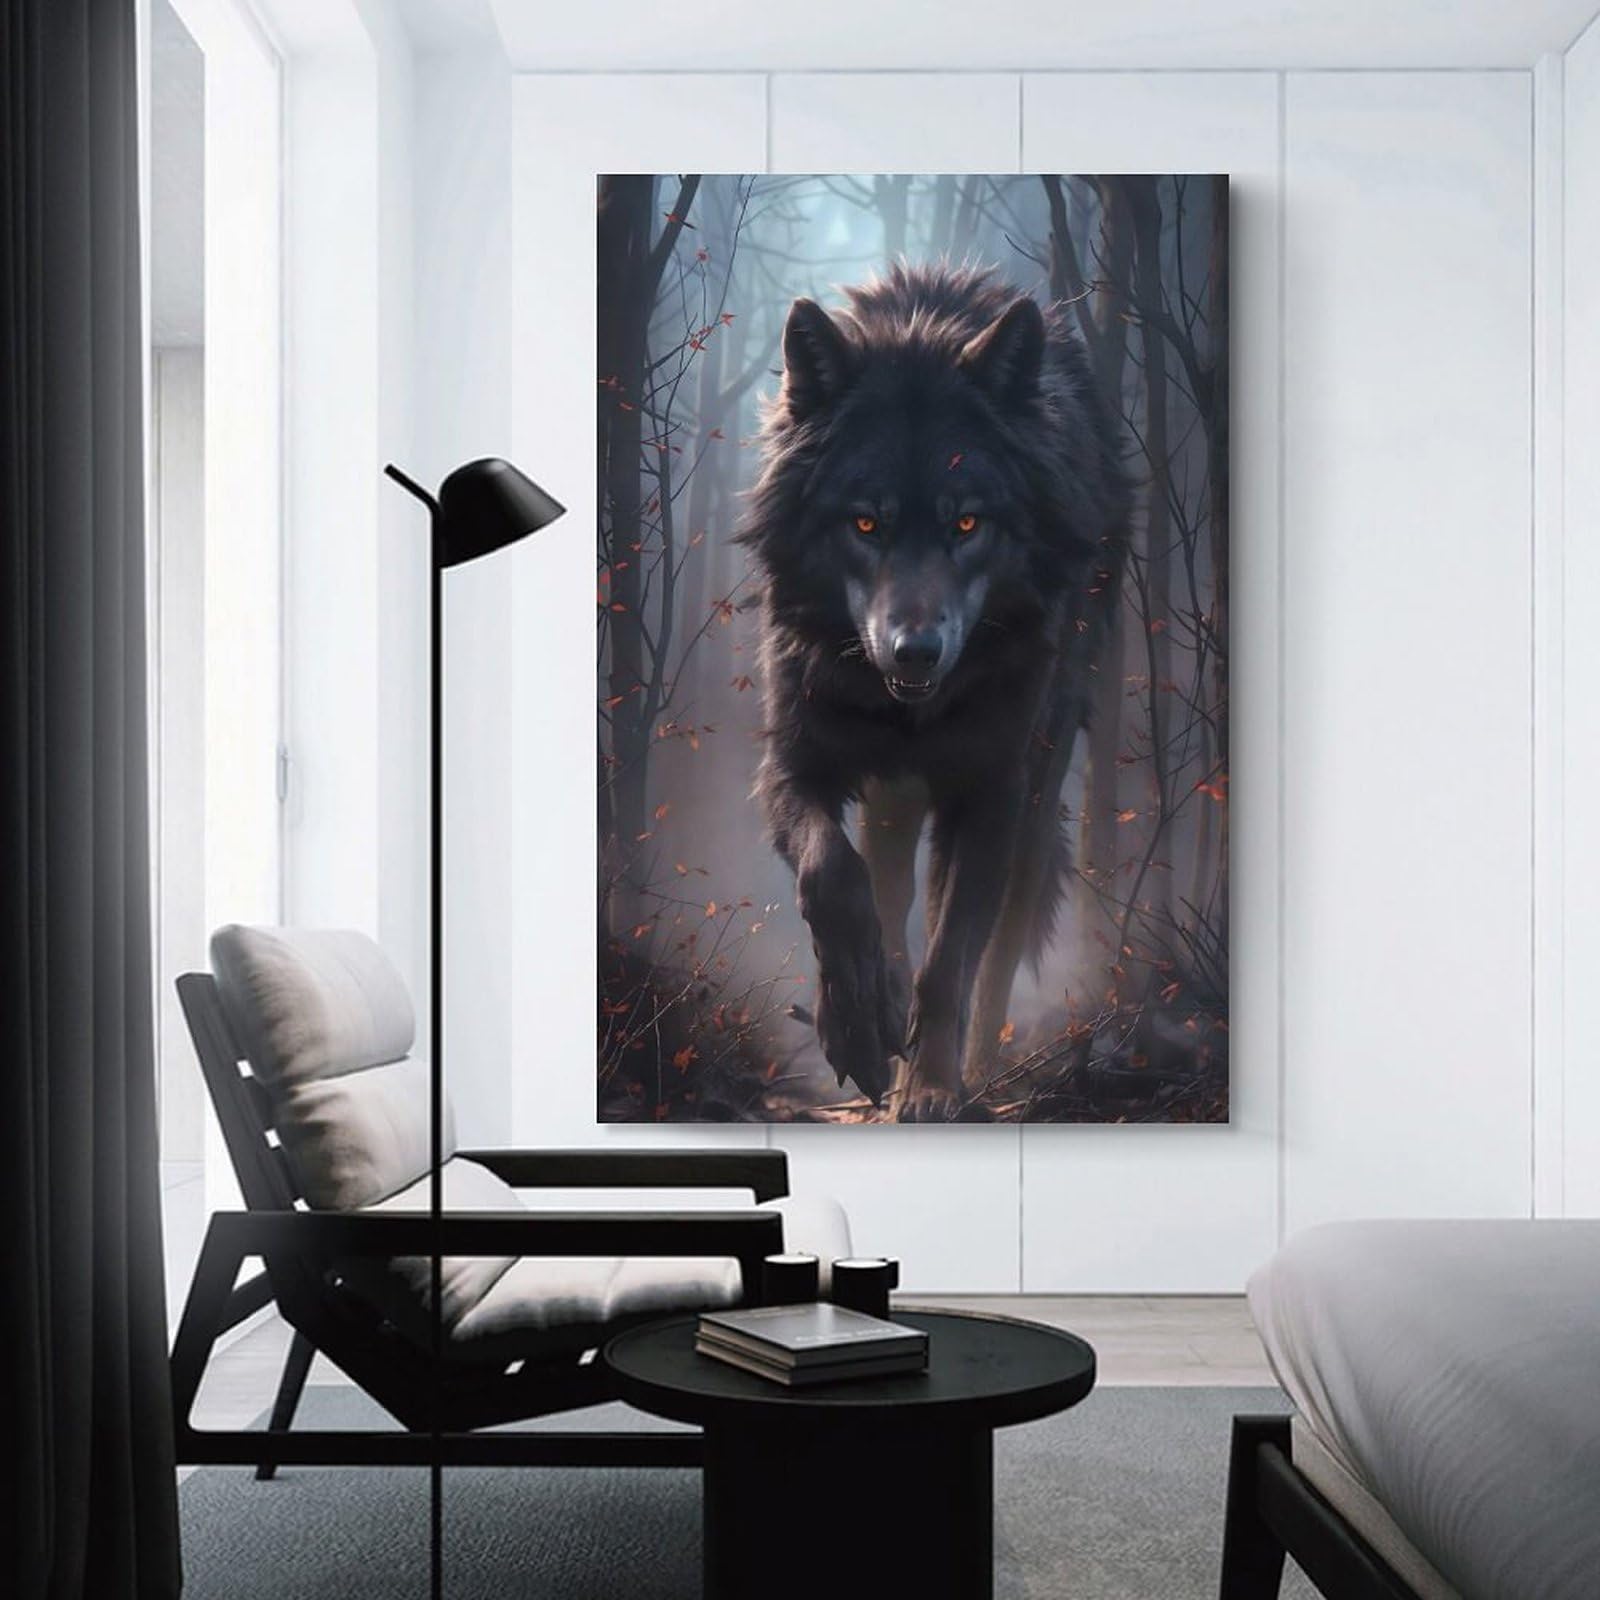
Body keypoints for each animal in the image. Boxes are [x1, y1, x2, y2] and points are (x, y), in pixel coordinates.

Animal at [740, 263, 1130, 1119]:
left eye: (967, 524)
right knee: (883, 889)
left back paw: (976, 1068)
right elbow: (833, 876)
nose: (915, 651)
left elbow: (952, 957)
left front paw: (931, 1087)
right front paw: (859, 1027)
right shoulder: (791, 765)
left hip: (1035, 798)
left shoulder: (989, 790)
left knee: (1001, 946)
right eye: (865, 524)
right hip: (893, 800)